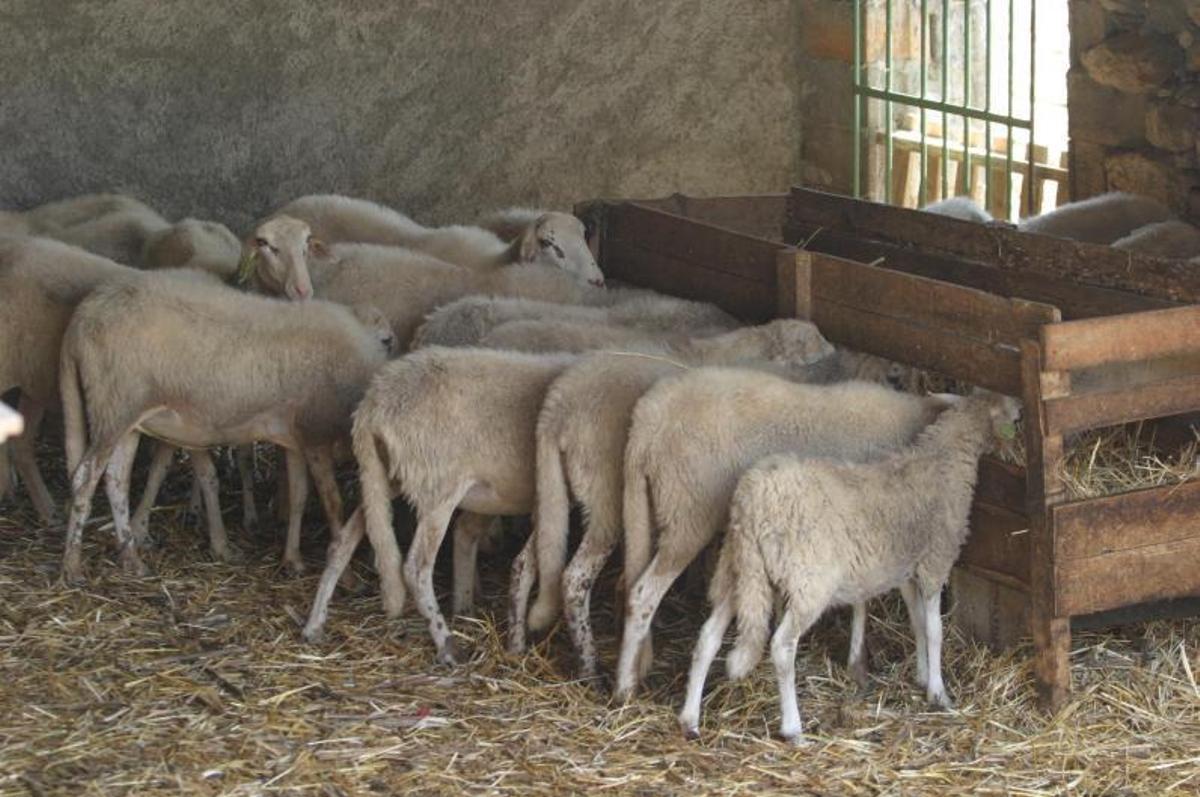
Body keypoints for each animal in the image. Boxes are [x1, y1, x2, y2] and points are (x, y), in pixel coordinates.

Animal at [57, 272, 388, 583]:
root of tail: (84, 314)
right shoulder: (317, 435)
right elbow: (333, 504)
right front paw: (345, 575)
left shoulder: (297, 437)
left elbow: (299, 497)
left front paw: (293, 560)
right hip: (114, 407)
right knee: (85, 478)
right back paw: (73, 566)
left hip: (129, 419)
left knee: (116, 480)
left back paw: (131, 559)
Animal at [504, 320, 836, 674]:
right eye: (809, 342)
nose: (833, 350)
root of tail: (556, 410)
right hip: (604, 497)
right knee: (574, 578)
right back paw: (589, 667)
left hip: (554, 493)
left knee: (527, 562)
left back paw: (516, 643)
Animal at [611, 371, 953, 701]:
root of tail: (646, 421)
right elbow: (866, 599)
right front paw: (859, 662)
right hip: (688, 510)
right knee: (643, 594)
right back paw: (625, 687)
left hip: (650, 503)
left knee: (632, 583)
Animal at [677, 392, 1020, 742]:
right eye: (1007, 414)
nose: (1019, 407)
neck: (943, 461)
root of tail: (753, 499)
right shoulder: (934, 562)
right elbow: (935, 630)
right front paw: (939, 693)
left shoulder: (905, 570)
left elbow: (917, 623)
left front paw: (923, 677)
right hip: (808, 581)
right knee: (782, 647)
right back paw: (793, 729)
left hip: (742, 570)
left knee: (707, 638)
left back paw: (690, 719)